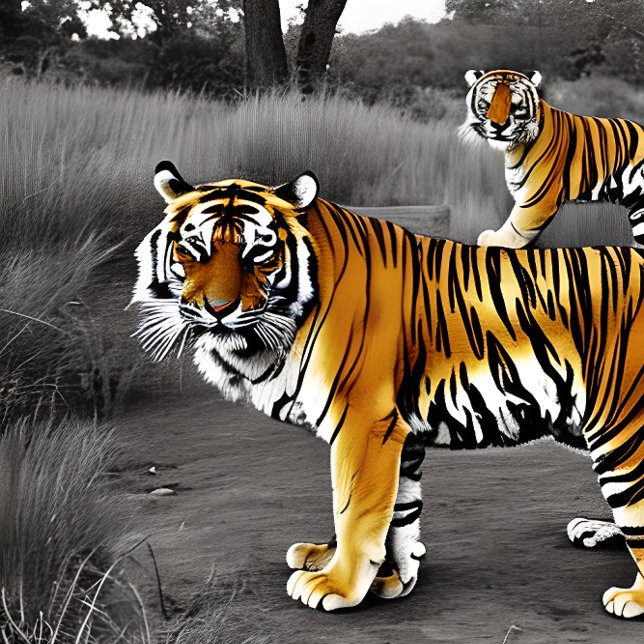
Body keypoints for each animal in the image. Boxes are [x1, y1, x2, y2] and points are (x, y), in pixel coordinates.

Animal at [132, 161, 644, 617]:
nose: (217, 309)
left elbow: (355, 508)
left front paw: (336, 585)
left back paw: (631, 597)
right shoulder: (401, 431)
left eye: (259, 253)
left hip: (621, 429)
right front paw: (391, 577)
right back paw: (595, 530)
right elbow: (397, 512)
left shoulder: (363, 421)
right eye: (193, 248)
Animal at [461, 69, 644, 248]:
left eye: (515, 106)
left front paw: (491, 239)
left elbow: (516, 226)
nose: (499, 125)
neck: (514, 148)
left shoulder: (537, 196)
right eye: (487, 104)